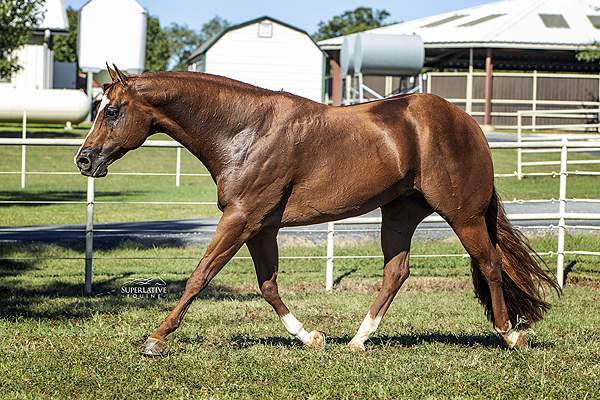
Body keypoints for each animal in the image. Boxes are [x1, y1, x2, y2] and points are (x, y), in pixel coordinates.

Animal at [77, 66, 560, 356]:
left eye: (113, 111)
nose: (84, 159)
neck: (246, 131)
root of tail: (468, 123)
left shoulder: (239, 220)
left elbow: (199, 276)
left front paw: (155, 339)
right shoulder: (260, 228)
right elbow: (268, 286)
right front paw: (311, 337)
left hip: (463, 216)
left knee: (490, 263)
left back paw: (510, 333)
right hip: (399, 214)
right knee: (396, 272)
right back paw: (358, 340)